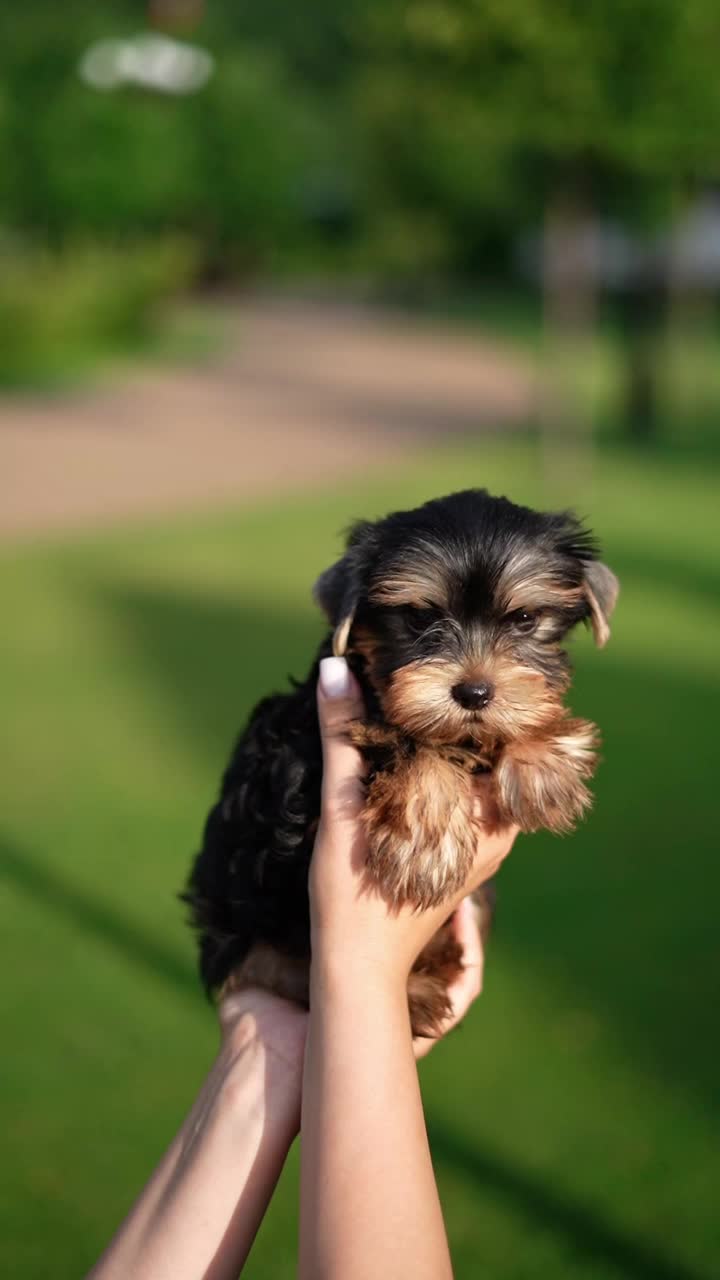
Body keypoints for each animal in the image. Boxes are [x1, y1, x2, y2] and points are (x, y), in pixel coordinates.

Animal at [183, 483, 617, 1034]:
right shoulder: (301, 765)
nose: (475, 692)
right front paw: (426, 842)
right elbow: (403, 734)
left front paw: (543, 755)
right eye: (417, 617)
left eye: (523, 620)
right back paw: (416, 991)